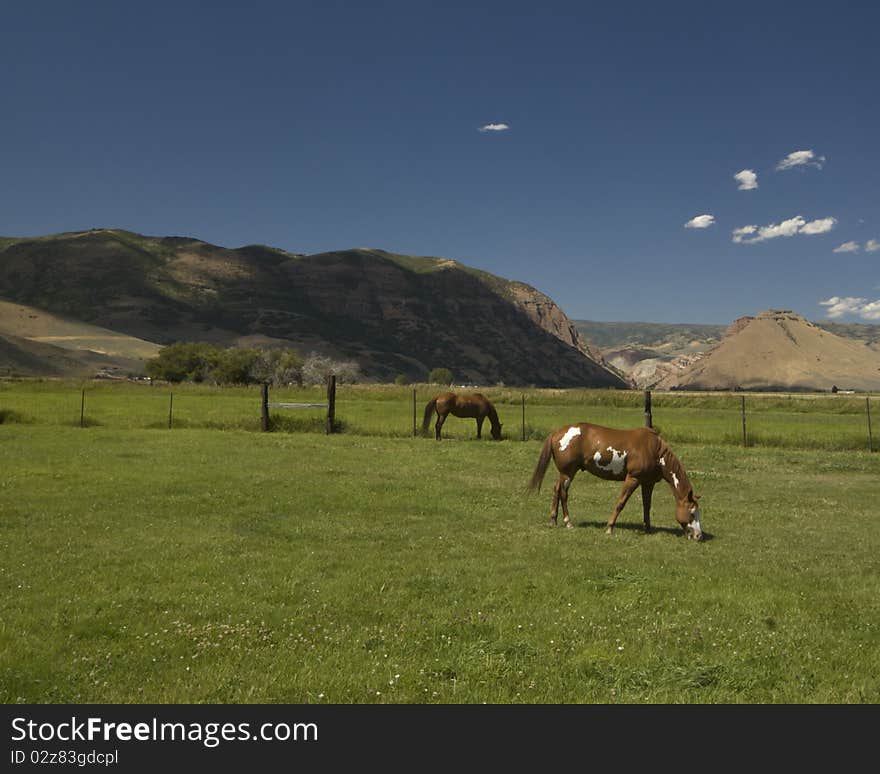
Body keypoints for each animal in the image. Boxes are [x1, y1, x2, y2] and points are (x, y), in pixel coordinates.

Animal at [524, 424, 704, 540]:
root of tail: (556, 433)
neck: (654, 450)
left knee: (556, 490)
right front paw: (610, 527)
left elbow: (647, 506)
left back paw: (554, 520)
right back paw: (568, 522)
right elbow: (620, 503)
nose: (698, 535)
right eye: (692, 512)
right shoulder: (632, 478)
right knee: (563, 493)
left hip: (564, 473)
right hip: (568, 473)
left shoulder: (647, 482)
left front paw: (647, 528)